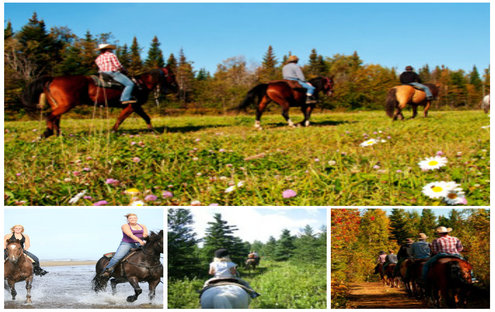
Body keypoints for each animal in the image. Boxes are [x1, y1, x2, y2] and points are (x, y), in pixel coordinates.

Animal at [22, 66, 180, 138]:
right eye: (172, 75)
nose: (176, 87)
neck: (141, 84)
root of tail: (52, 79)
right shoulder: (133, 105)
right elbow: (124, 118)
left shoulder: (134, 106)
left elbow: (140, 118)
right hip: (65, 105)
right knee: (50, 116)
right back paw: (47, 132)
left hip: (58, 105)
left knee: (55, 118)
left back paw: (58, 134)